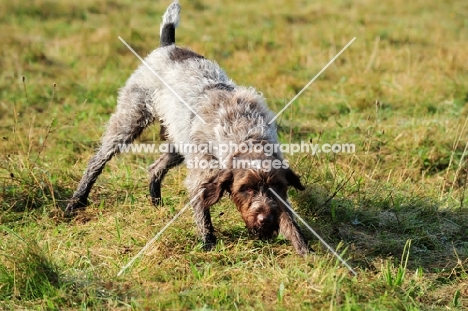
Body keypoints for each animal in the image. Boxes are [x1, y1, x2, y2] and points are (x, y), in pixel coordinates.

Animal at [64, 0, 308, 256]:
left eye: (276, 187)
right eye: (245, 188)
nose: (265, 220)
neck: (245, 133)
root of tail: (168, 46)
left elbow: (289, 219)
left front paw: (304, 249)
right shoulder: (201, 176)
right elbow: (203, 212)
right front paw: (208, 243)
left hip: (178, 143)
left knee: (155, 167)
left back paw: (156, 202)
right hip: (128, 122)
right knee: (97, 161)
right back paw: (76, 202)